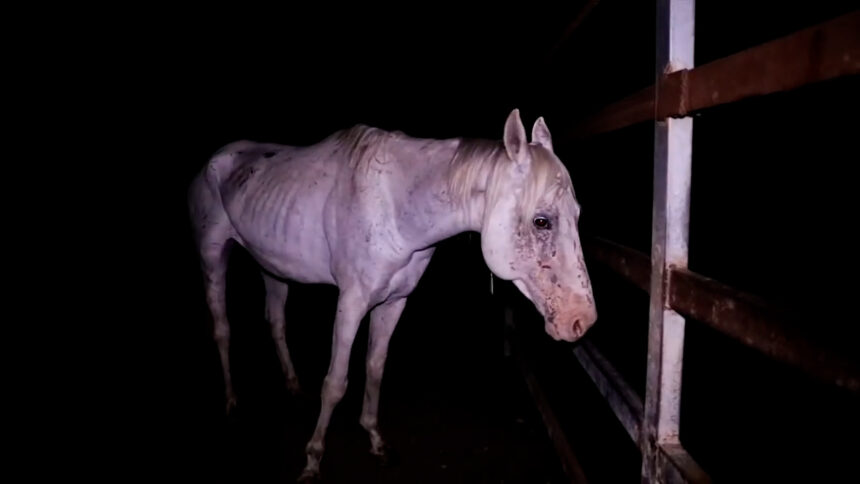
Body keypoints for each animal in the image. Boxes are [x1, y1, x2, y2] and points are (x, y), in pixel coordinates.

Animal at [187, 108, 597, 481]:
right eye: (542, 221)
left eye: (577, 214)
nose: (582, 320)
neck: (396, 208)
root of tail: (216, 159)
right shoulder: (351, 302)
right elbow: (335, 382)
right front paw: (313, 459)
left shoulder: (394, 302)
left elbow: (375, 367)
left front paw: (375, 439)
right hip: (212, 255)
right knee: (222, 329)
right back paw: (232, 402)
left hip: (272, 267)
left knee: (275, 322)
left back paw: (292, 386)